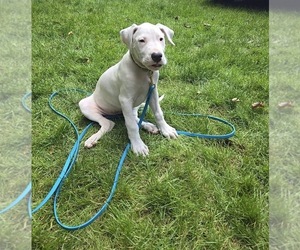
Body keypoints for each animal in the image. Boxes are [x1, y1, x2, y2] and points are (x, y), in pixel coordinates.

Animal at [79, 23, 178, 156]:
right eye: (141, 40)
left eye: (161, 39)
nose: (157, 56)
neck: (144, 71)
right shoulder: (125, 99)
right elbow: (131, 125)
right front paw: (138, 145)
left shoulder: (153, 92)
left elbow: (158, 113)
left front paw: (166, 130)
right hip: (85, 105)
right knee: (109, 124)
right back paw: (92, 139)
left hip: (132, 107)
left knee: (133, 117)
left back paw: (149, 126)